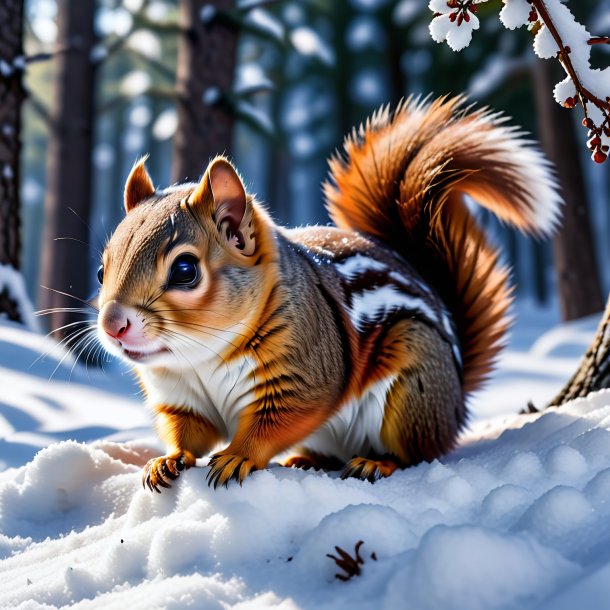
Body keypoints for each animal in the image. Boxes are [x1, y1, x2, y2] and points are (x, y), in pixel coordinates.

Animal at [97, 97, 560, 492]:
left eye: (185, 270)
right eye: (102, 269)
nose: (112, 325)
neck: (200, 358)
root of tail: (457, 401)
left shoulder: (303, 375)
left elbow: (275, 422)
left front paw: (238, 456)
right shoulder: (182, 399)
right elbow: (189, 434)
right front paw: (166, 459)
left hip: (414, 383)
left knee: (416, 453)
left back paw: (376, 462)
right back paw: (305, 461)